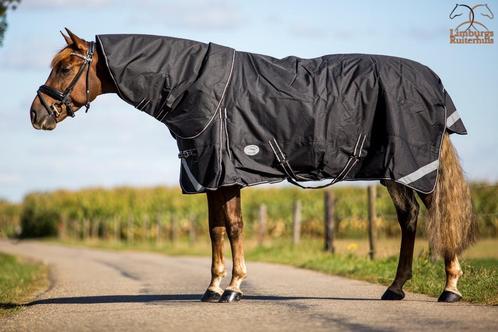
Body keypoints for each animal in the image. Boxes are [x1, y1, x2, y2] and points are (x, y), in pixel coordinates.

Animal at [30, 31, 474, 304]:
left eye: (65, 67)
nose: (37, 114)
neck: (196, 85)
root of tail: (433, 83)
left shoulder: (227, 175)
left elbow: (234, 227)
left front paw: (234, 287)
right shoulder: (208, 175)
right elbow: (215, 230)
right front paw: (212, 287)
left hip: (414, 165)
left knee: (438, 213)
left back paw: (450, 287)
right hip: (394, 170)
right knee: (409, 218)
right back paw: (395, 288)